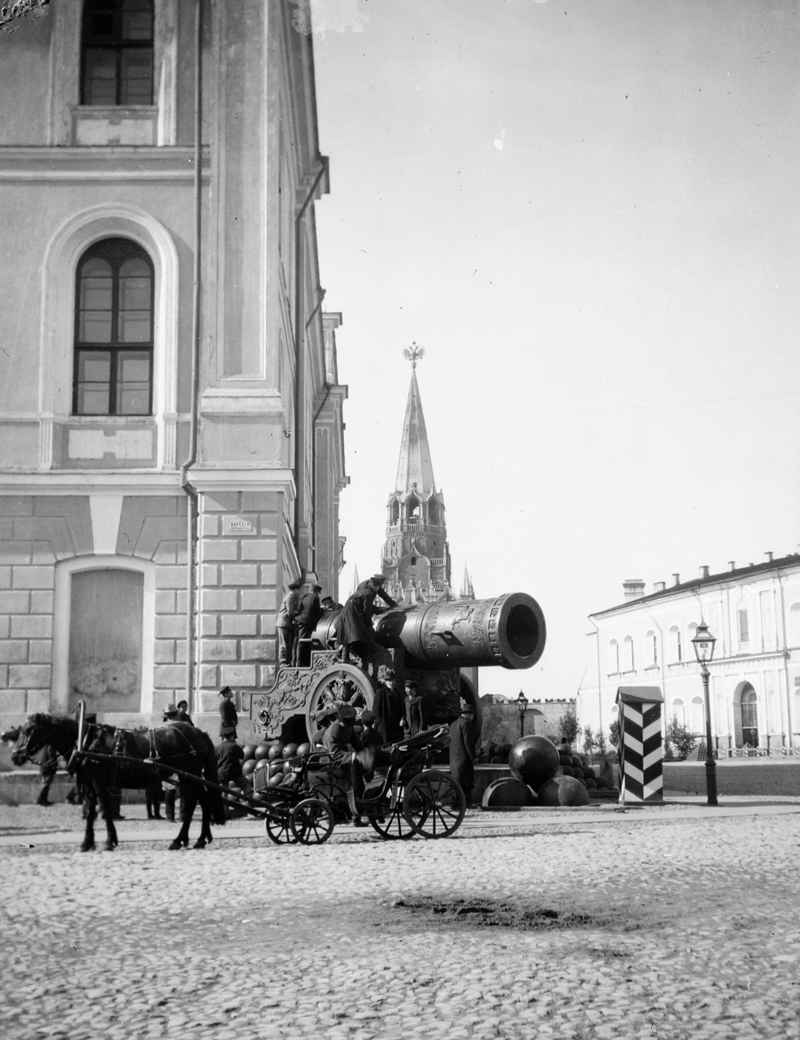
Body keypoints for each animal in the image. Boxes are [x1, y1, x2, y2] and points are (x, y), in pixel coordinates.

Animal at [10, 715, 226, 852]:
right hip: (191, 777)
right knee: (203, 801)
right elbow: (90, 812)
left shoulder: (99, 783)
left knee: (191, 804)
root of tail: (200, 733)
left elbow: (105, 809)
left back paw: (179, 840)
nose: (14, 756)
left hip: (188, 776)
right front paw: (88, 843)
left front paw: (109, 841)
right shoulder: (88, 785)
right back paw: (200, 838)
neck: (85, 742)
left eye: (28, 730)